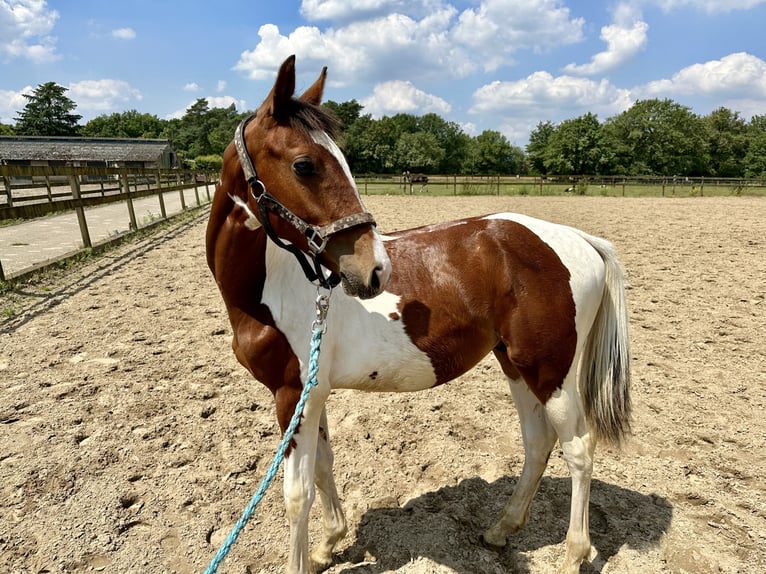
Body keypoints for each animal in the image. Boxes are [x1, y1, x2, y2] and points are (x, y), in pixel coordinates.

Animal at [207, 55, 632, 574]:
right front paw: (330, 544)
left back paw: (573, 554)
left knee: (578, 449)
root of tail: (578, 239)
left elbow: (296, 495)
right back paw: (501, 529)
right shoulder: (312, 395)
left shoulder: (294, 395)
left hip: (551, 370)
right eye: (304, 164)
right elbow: (324, 469)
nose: (373, 269)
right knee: (537, 443)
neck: (273, 288)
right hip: (516, 363)